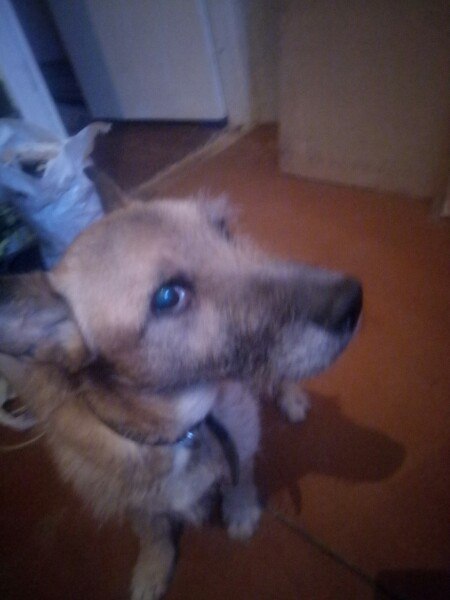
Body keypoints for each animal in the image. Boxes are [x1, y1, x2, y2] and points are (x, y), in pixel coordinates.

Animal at [0, 187, 362, 599]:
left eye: (223, 232)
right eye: (168, 297)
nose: (354, 301)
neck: (181, 429)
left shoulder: (242, 443)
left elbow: (240, 478)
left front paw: (240, 510)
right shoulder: (135, 503)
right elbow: (152, 531)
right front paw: (152, 567)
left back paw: (291, 397)